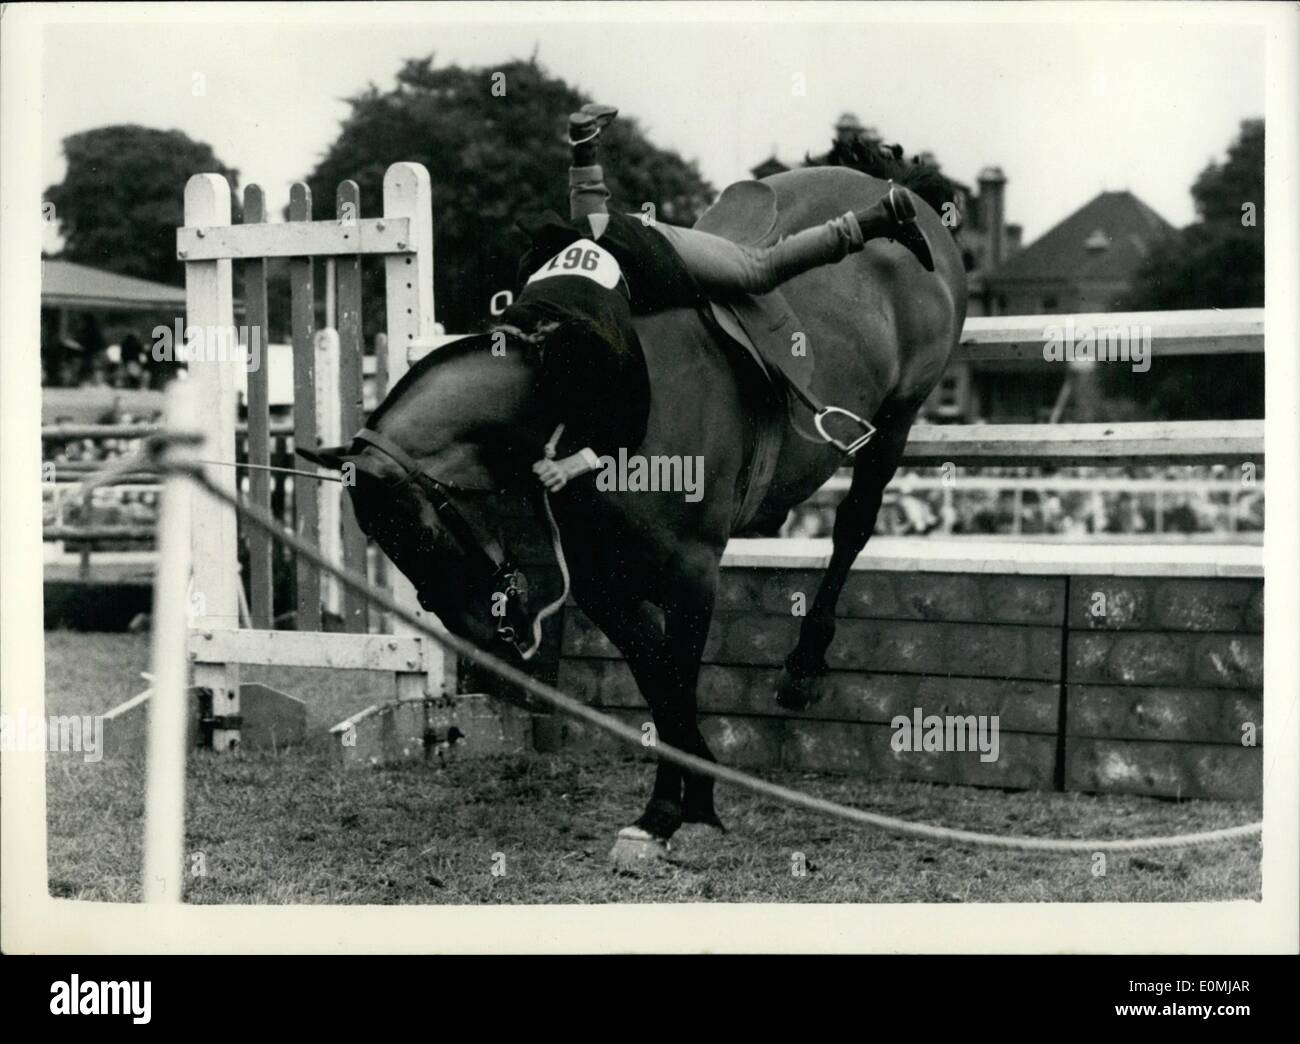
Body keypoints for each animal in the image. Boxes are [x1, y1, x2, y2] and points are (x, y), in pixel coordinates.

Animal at [300, 165, 966, 865]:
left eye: (423, 531)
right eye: (383, 542)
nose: (485, 646)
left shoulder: (692, 575)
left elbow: (676, 680)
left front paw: (670, 811)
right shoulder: (602, 586)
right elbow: (658, 682)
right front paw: (692, 794)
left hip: (896, 420)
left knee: (852, 528)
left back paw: (804, 667)